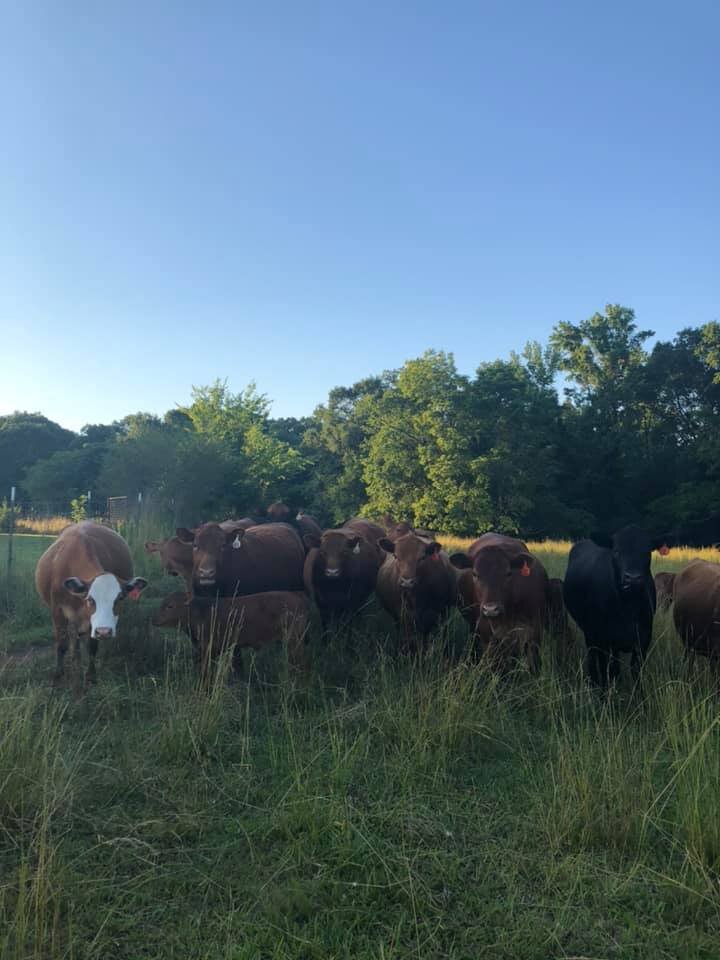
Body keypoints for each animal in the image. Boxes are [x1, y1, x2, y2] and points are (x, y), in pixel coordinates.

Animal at [35, 521, 147, 681]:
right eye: (90, 599)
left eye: (119, 598)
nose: (105, 631)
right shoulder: (57, 610)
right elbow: (61, 644)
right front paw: (58, 673)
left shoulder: (92, 622)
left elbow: (92, 645)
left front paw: (91, 675)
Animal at [450, 533, 546, 673]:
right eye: (475, 574)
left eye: (508, 573)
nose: (491, 609)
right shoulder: (487, 633)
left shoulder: (534, 630)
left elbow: (533, 663)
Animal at [563, 525, 672, 688]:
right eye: (616, 551)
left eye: (647, 552)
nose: (632, 578)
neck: (628, 607)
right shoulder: (605, 640)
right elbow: (610, 670)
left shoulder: (643, 639)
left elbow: (636, 672)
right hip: (591, 634)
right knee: (593, 658)